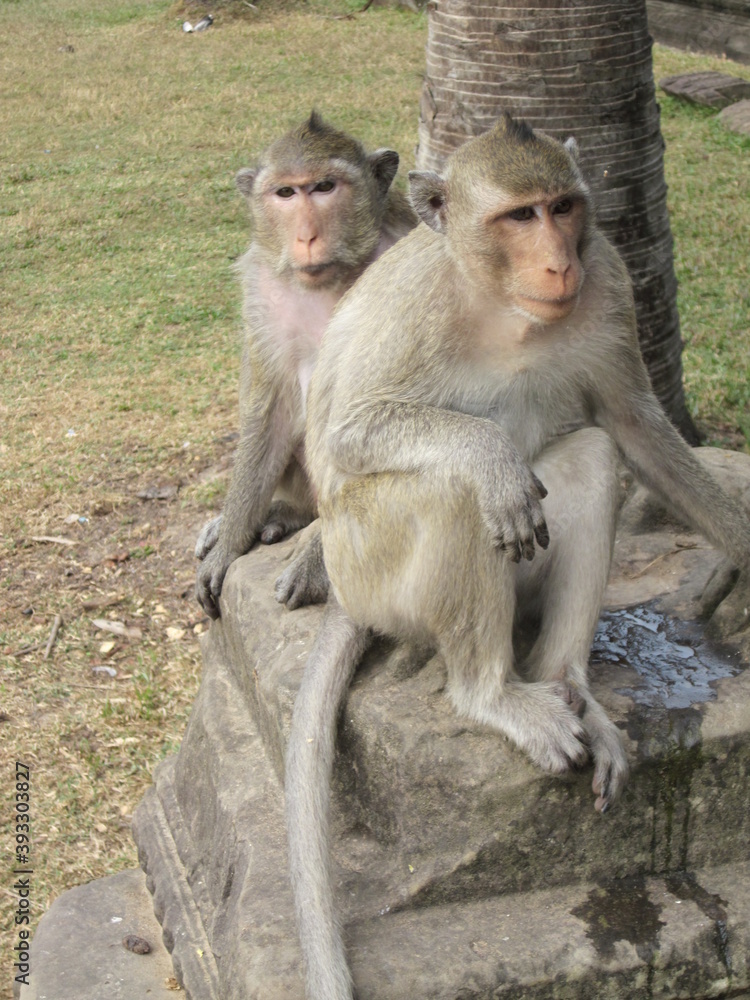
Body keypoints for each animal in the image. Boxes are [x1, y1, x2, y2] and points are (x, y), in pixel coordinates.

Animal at [194, 112, 418, 619]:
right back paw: (284, 513)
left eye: (324, 187)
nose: (307, 237)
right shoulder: (263, 284)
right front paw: (229, 544)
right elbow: (271, 406)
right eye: (286, 193)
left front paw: (316, 566)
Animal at [284, 114, 750, 1000]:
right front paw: (491, 457)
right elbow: (351, 431)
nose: (559, 260)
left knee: (593, 455)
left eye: (564, 207)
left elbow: (632, 423)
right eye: (517, 217)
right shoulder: (418, 313)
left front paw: (741, 549)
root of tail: (350, 600)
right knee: (447, 496)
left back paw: (569, 685)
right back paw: (492, 692)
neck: (501, 304)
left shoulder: (611, 282)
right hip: (372, 570)